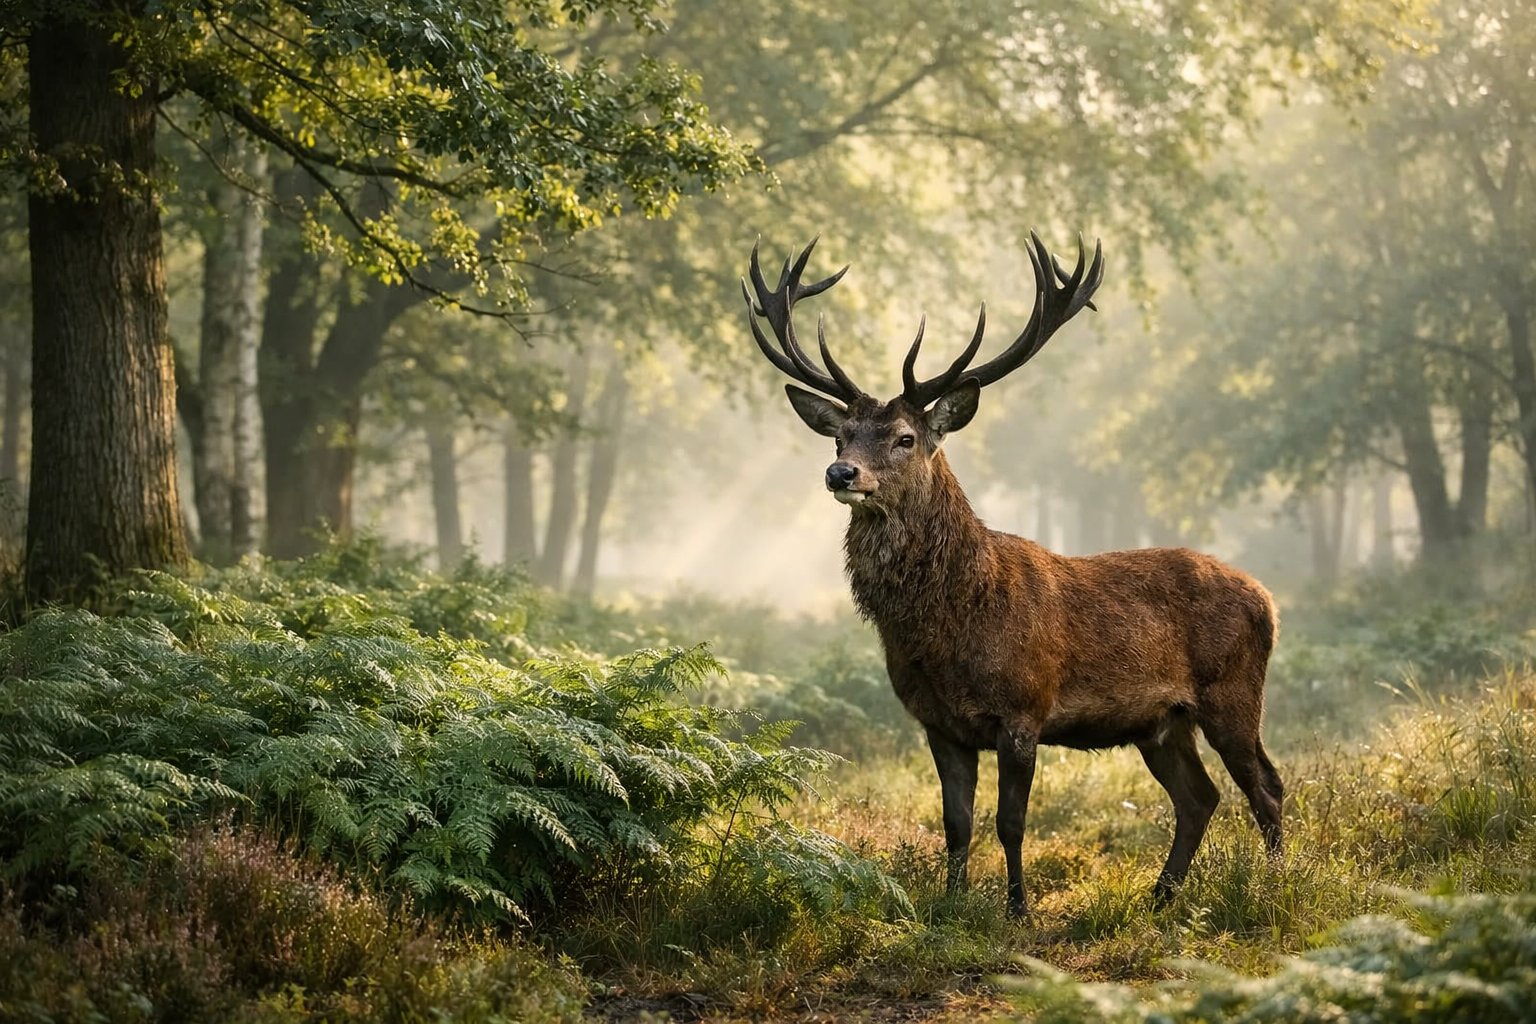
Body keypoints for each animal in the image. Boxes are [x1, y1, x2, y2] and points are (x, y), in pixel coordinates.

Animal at [740, 234, 1284, 918]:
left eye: (905, 437)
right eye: (840, 435)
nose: (841, 474)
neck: (948, 628)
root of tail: (1268, 599)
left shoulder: (1024, 708)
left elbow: (1011, 822)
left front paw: (1017, 910)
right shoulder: (938, 724)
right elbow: (956, 823)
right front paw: (948, 905)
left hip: (1233, 693)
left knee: (1267, 786)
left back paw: (1274, 886)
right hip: (1161, 723)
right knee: (1200, 797)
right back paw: (1160, 897)